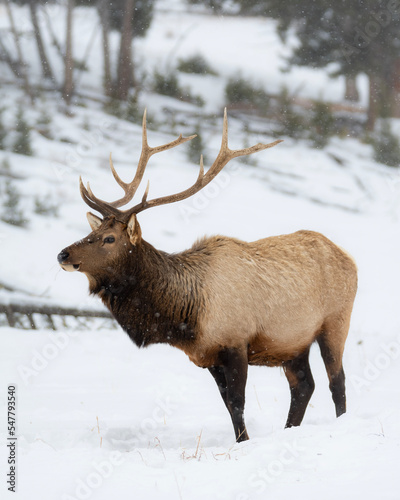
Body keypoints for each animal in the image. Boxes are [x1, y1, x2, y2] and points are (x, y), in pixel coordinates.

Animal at [57, 108, 358, 442]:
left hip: (335, 322)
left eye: (109, 238)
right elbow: (228, 405)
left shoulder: (236, 342)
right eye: (91, 232)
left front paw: (244, 442)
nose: (63, 255)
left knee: (337, 382)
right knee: (304, 386)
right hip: (294, 342)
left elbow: (237, 402)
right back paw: (289, 429)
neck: (185, 317)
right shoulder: (209, 356)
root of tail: (349, 257)